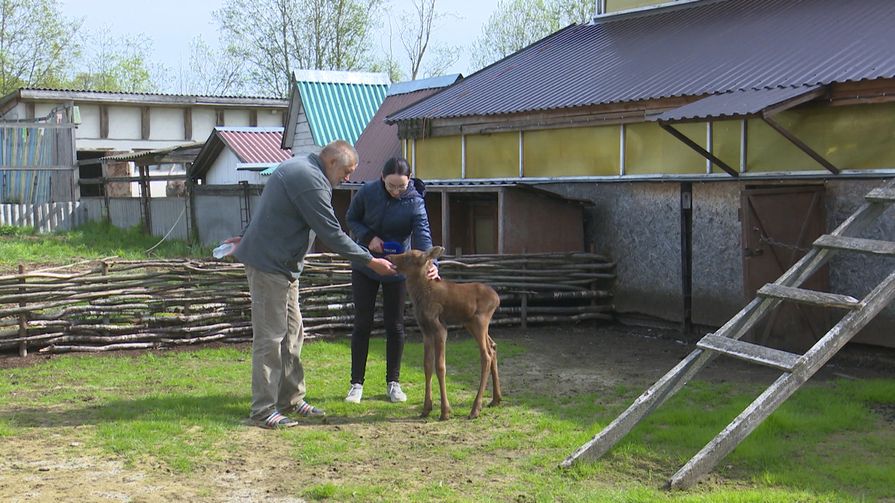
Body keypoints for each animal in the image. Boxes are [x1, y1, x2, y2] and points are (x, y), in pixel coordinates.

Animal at [386, 246, 500, 420]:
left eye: (409, 257)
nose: (389, 257)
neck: (420, 297)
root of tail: (498, 299)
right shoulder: (425, 330)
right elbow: (427, 365)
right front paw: (426, 408)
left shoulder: (440, 328)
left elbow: (440, 366)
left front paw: (445, 411)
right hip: (471, 324)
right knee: (493, 346)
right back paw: (495, 399)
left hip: (480, 321)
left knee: (486, 355)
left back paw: (475, 409)